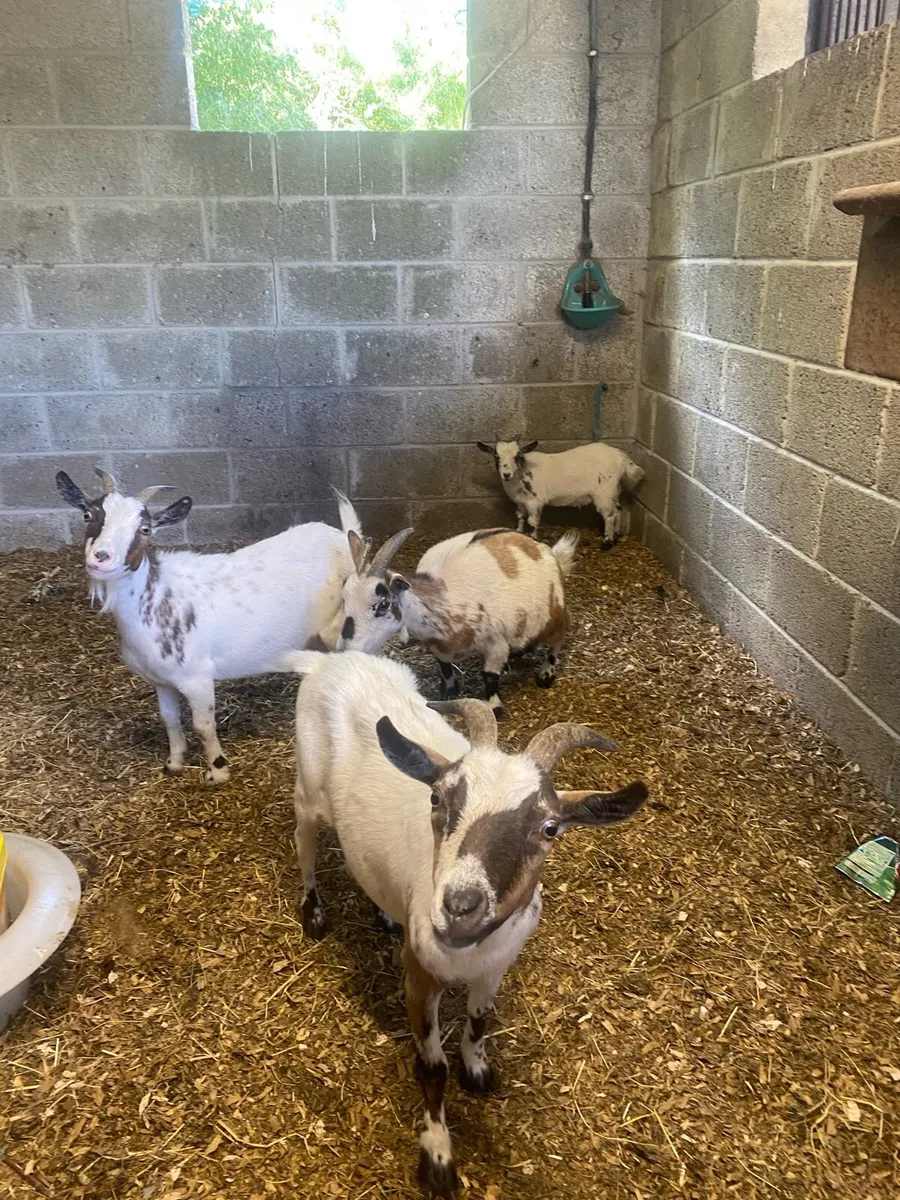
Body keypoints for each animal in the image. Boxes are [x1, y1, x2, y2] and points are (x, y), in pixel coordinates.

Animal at [55, 467, 361, 784]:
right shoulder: (160, 680)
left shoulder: (197, 677)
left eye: (145, 529)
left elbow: (203, 726)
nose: (101, 557)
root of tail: (344, 537)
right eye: (88, 515)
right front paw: (174, 762)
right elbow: (170, 719)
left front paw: (217, 771)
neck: (155, 600)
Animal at [288, 649, 647, 1198]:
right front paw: (437, 1159)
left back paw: (383, 914)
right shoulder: (419, 976)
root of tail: (328, 660)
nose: (459, 906)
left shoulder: (497, 965)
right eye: (437, 798)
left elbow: (480, 1021)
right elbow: (431, 1069)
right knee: (305, 845)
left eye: (550, 828)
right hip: (307, 792)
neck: (469, 952)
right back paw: (314, 913)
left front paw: (477, 1071)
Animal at [337, 525, 578, 715]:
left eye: (384, 604)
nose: (346, 649)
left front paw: (494, 707)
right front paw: (449, 690)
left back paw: (546, 673)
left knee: (558, 640)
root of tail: (546, 551)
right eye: (344, 597)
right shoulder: (439, 646)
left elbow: (489, 676)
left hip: (554, 616)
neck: (445, 597)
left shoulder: (495, 644)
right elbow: (443, 665)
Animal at [477, 438, 645, 544]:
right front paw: (518, 533)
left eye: (517, 456)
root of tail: (622, 458)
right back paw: (615, 536)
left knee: (610, 515)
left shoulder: (534, 502)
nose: (506, 474)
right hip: (613, 491)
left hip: (604, 493)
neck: (522, 472)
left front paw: (534, 539)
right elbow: (520, 517)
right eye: (496, 456)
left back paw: (607, 541)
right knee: (618, 510)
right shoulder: (521, 502)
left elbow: (532, 522)